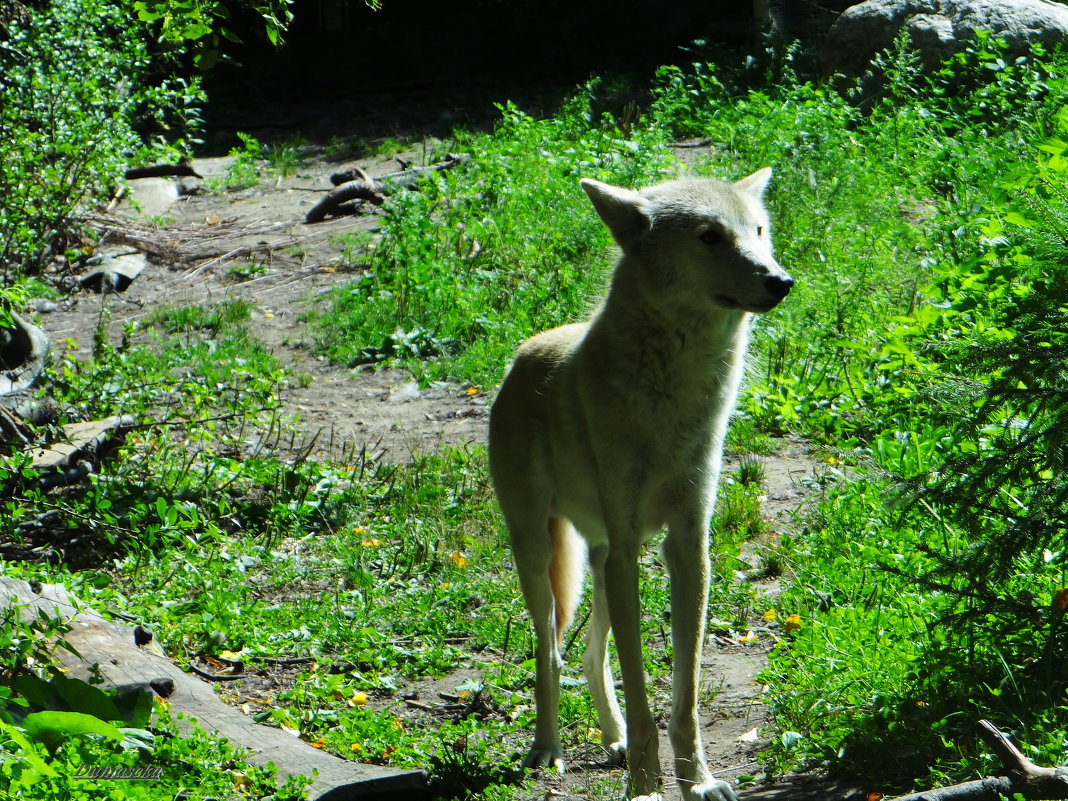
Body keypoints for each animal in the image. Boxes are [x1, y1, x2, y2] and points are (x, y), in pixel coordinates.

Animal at [489, 170, 790, 801]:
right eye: (710, 237)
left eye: (756, 231)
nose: (781, 281)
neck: (674, 401)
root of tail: (523, 353)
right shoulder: (630, 549)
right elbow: (644, 692)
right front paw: (646, 788)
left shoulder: (687, 544)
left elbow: (683, 698)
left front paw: (699, 783)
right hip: (542, 556)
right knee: (550, 653)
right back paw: (548, 748)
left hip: (600, 563)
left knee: (589, 656)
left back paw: (613, 739)